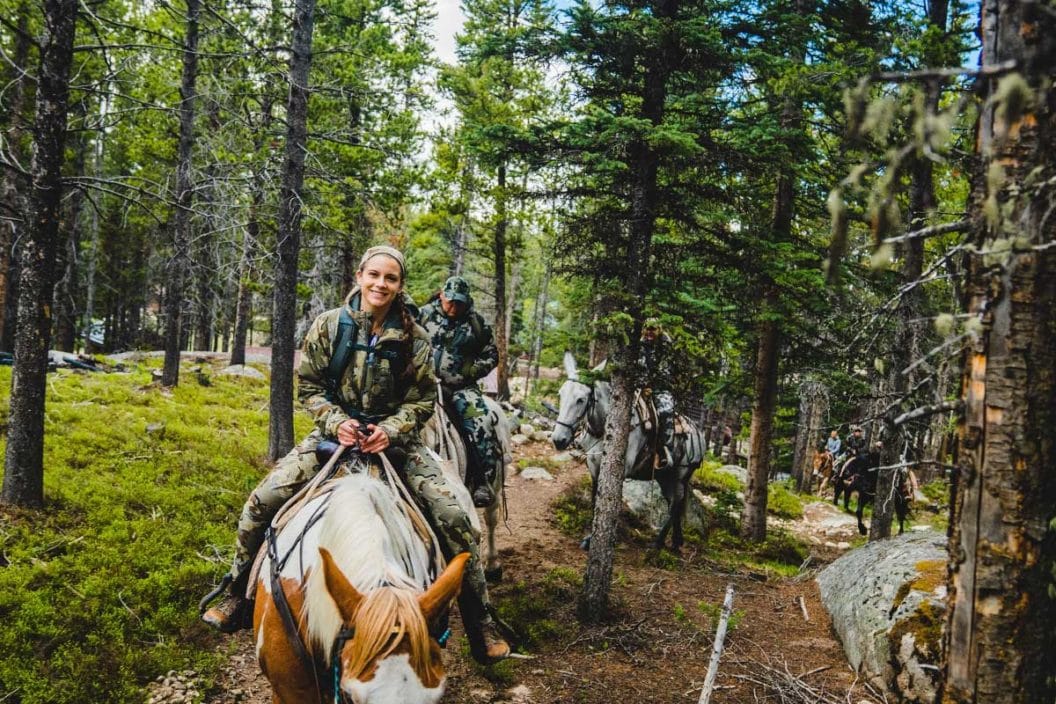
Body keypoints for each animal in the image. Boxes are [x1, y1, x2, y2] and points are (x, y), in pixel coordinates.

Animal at [549, 354, 705, 553]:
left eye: (581, 399)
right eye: (560, 394)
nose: (559, 439)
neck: (604, 430)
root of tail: (699, 432)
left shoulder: (620, 470)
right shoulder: (594, 469)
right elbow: (595, 502)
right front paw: (591, 538)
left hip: (679, 475)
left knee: (675, 504)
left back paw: (658, 543)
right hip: (665, 477)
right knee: (674, 503)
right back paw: (676, 542)